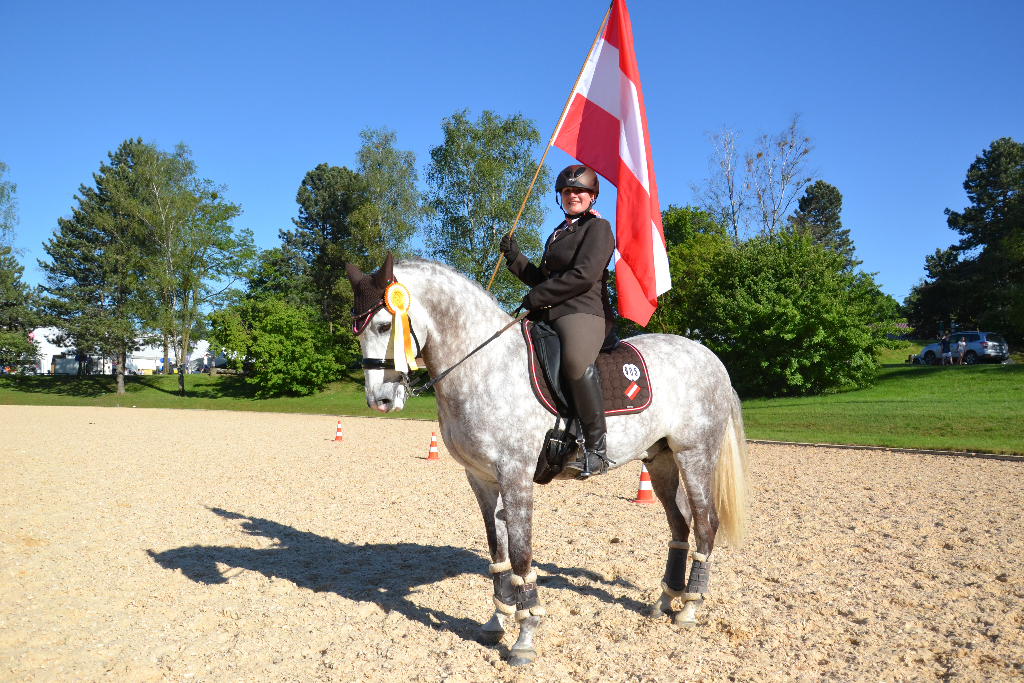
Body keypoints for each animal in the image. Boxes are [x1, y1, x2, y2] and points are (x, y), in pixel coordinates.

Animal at [348, 253, 749, 663]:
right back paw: (665, 600)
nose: (379, 401)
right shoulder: (481, 478)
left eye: (384, 325)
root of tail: (709, 356)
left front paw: (525, 636)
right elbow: (498, 550)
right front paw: (497, 620)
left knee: (705, 524)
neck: (484, 366)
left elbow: (521, 553)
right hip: (660, 459)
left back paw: (689, 607)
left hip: (695, 454)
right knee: (680, 525)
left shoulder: (515, 475)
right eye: (356, 331)